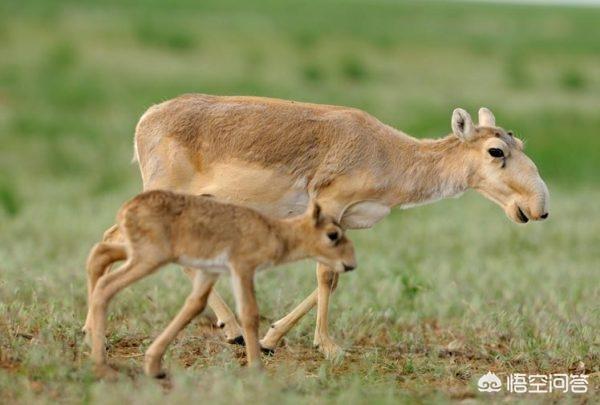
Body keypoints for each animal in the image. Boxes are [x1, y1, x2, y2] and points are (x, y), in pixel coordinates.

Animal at [83, 94, 548, 356]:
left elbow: (336, 275)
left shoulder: (344, 221)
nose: (539, 207)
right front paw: (329, 347)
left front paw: (271, 339)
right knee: (113, 240)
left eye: (520, 142)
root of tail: (147, 118)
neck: (389, 152)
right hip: (163, 194)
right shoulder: (329, 205)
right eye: (495, 151)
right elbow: (326, 275)